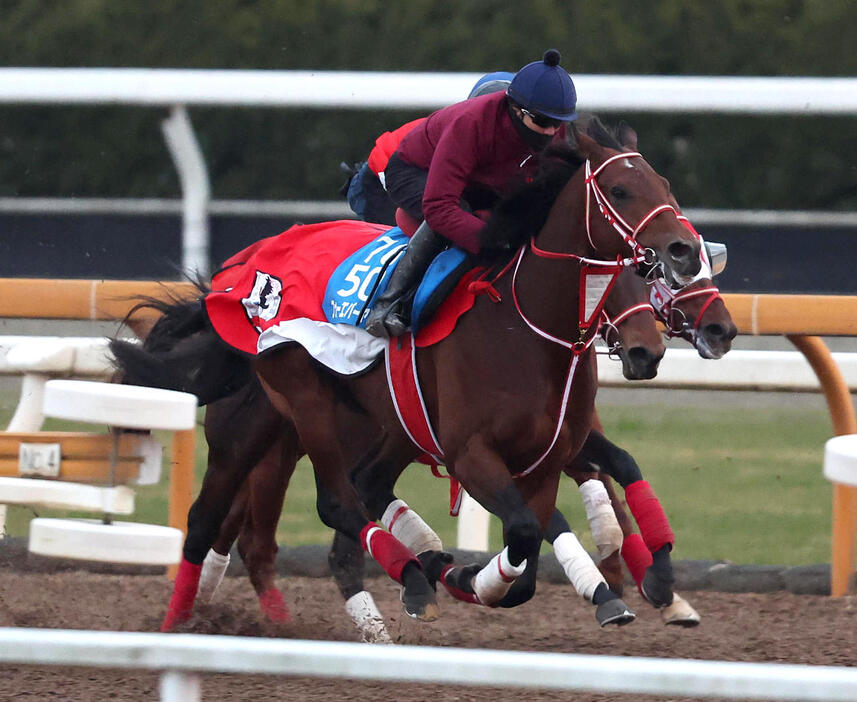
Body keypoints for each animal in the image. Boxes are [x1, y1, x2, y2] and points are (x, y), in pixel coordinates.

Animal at [112, 118, 704, 636]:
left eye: (665, 185)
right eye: (621, 189)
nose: (682, 248)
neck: (528, 327)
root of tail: (240, 275)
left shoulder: (548, 457)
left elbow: (538, 551)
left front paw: (653, 583)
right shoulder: (470, 452)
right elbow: (524, 533)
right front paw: (471, 576)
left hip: (381, 427)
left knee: (355, 494)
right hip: (280, 413)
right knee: (278, 512)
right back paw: (180, 625)